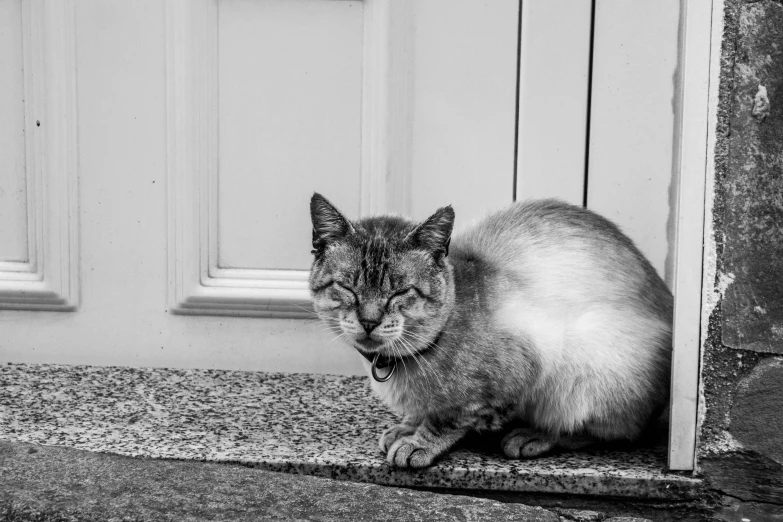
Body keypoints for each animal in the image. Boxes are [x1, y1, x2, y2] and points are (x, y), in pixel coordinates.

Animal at [310, 192, 672, 468]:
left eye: (400, 292)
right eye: (348, 288)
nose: (369, 321)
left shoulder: (516, 374)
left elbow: (450, 418)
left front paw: (418, 442)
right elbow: (421, 413)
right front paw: (405, 428)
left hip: (584, 362)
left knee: (612, 432)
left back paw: (533, 436)